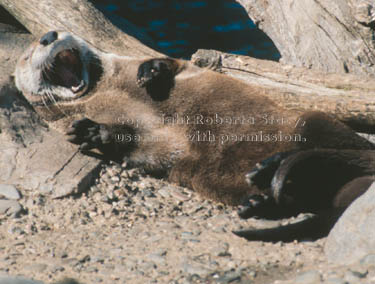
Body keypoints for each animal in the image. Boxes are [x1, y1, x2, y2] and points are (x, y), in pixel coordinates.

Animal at [14, 30, 375, 240]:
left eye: (59, 31)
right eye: (26, 55)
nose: (48, 35)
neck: (112, 88)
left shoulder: (157, 65)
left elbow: (174, 61)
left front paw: (151, 71)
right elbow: (141, 147)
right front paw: (92, 132)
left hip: (312, 121)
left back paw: (274, 169)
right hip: (217, 180)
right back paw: (261, 196)